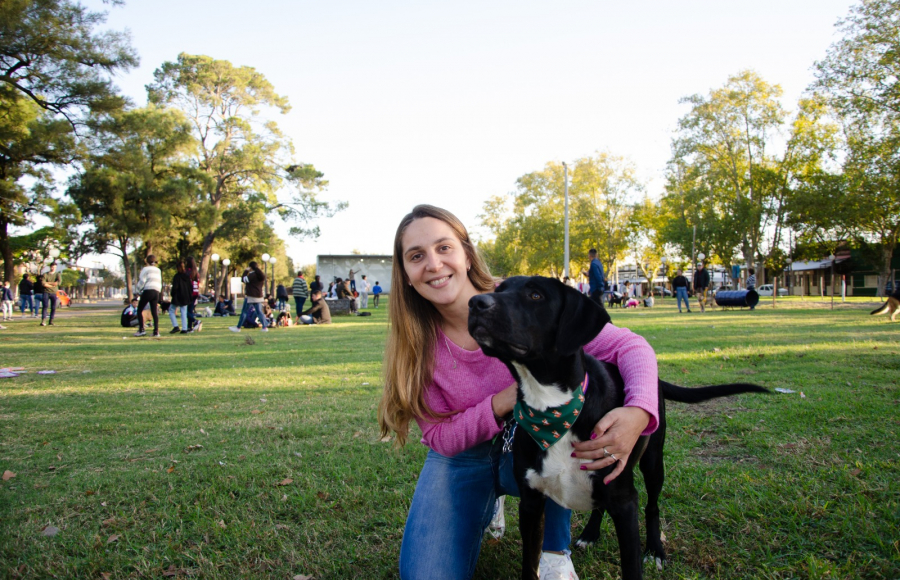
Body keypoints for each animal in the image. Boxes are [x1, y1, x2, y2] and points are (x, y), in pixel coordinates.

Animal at [468, 276, 768, 580]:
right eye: (499, 289)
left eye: (536, 295)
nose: (476, 302)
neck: (553, 409)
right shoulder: (531, 502)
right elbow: (530, 565)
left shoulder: (625, 504)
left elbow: (632, 565)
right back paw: (590, 533)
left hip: (653, 462)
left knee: (652, 506)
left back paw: (655, 549)